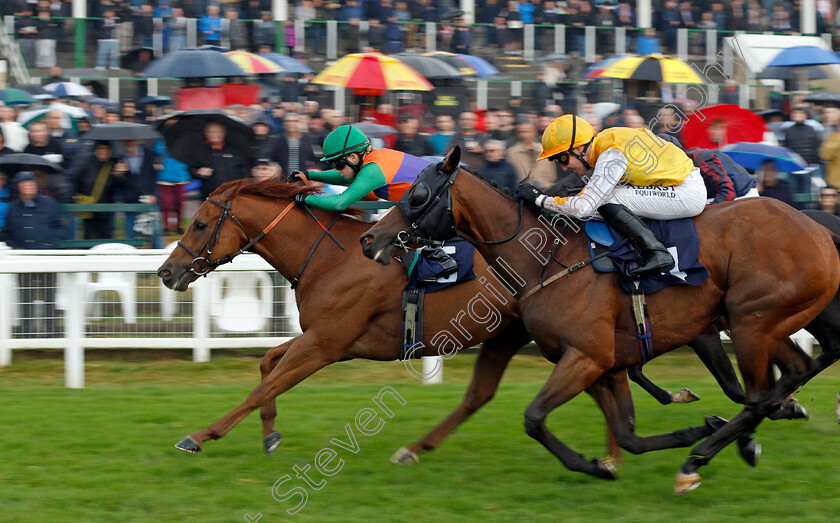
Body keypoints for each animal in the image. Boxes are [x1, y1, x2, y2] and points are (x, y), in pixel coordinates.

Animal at [360, 148, 840, 496]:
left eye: (417, 195)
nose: (369, 238)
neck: (547, 259)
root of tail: (819, 229)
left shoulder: (587, 356)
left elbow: (534, 418)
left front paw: (596, 465)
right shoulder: (602, 363)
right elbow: (627, 434)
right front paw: (686, 429)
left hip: (750, 322)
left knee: (759, 395)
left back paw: (697, 462)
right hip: (763, 321)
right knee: (791, 372)